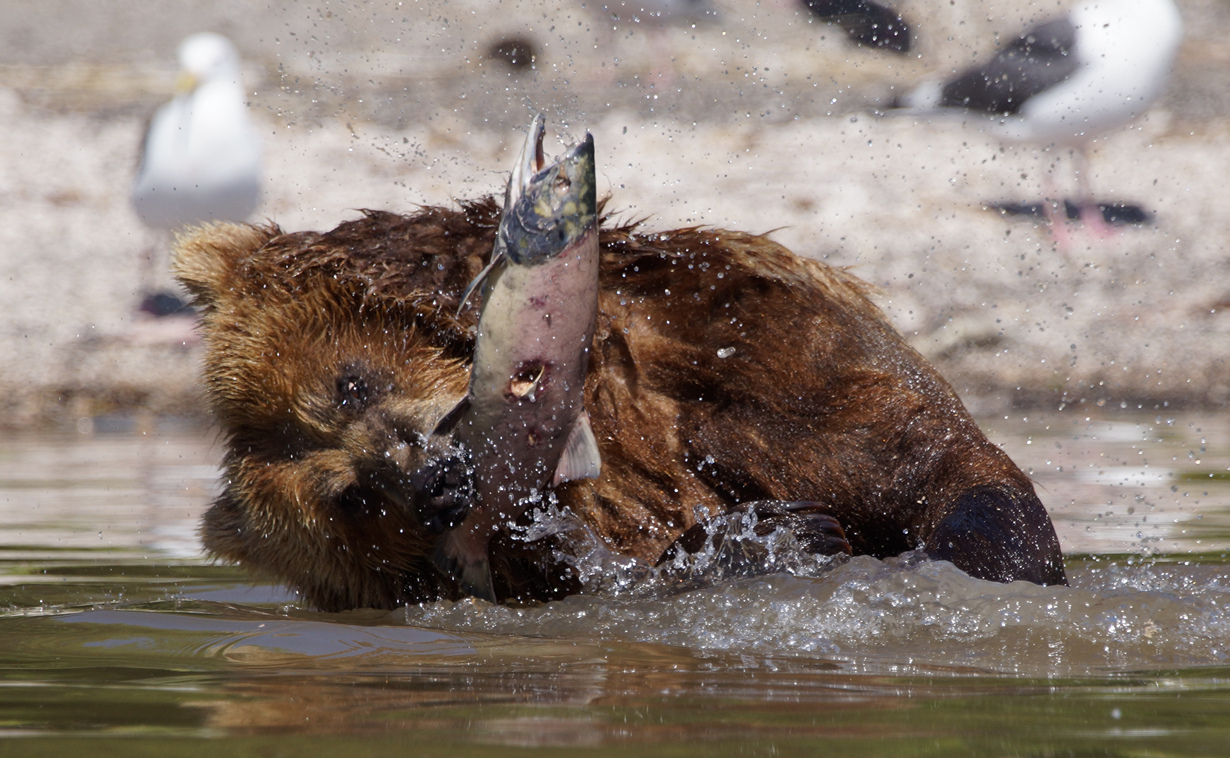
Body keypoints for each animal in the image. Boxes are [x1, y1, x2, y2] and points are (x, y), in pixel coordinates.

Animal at [175, 196, 1067, 610]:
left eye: (349, 382)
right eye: (354, 499)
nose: (431, 479)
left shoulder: (743, 350)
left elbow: (925, 462)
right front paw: (762, 541)